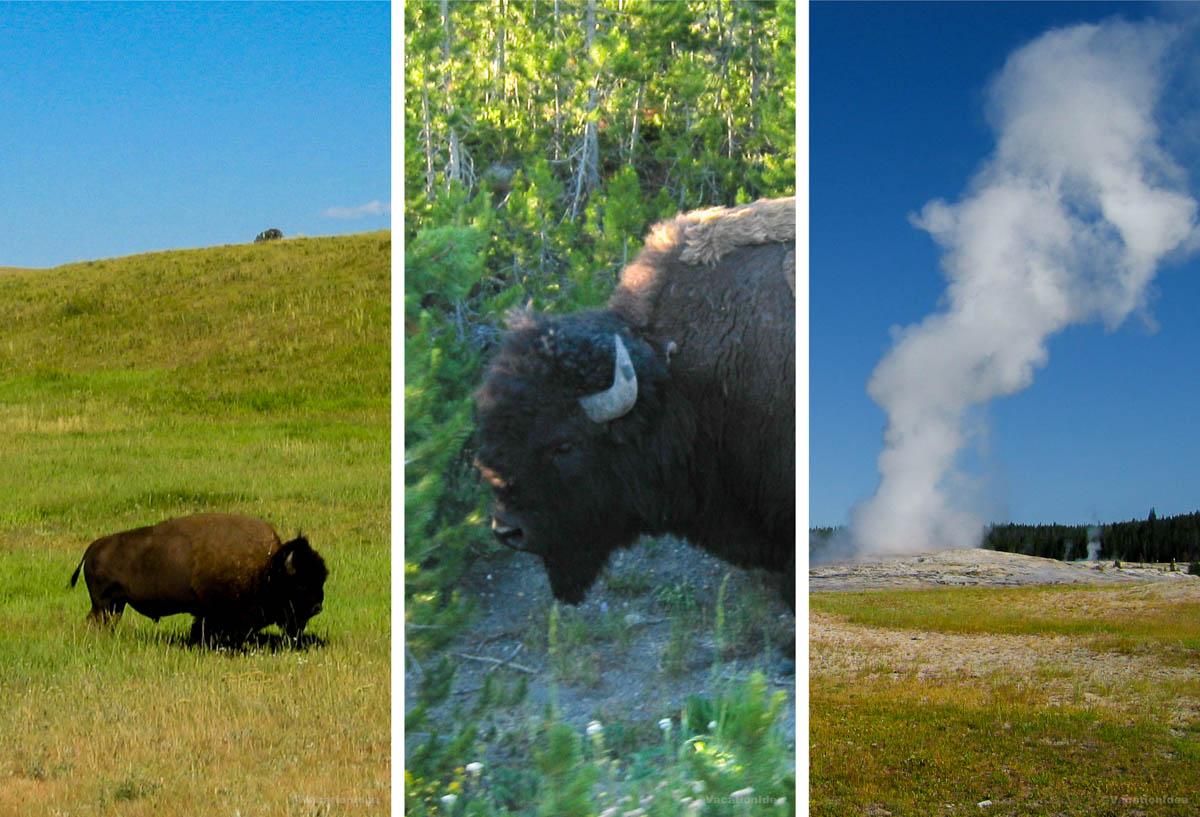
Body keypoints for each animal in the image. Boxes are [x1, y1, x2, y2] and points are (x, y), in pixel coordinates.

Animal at [69, 513, 328, 644]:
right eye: (301, 583)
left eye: (321, 578)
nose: (318, 606)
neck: (267, 567)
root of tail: (91, 549)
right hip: (104, 605)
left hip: (115, 605)